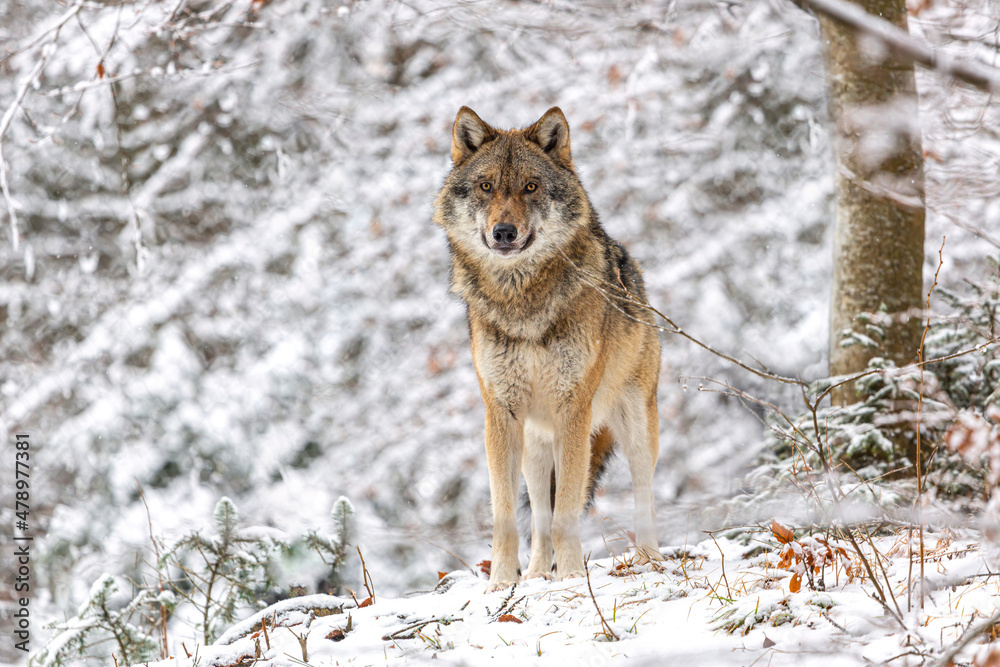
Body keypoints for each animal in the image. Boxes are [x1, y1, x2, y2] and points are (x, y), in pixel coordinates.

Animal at [432, 107, 660, 592]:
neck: (522, 301)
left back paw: (650, 559)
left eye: (531, 186)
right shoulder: (500, 413)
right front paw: (502, 583)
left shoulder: (573, 409)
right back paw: (537, 573)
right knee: (538, 510)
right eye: (486, 186)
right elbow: (508, 517)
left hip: (634, 427)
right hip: (535, 446)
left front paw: (571, 577)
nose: (503, 232)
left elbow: (567, 511)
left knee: (643, 490)